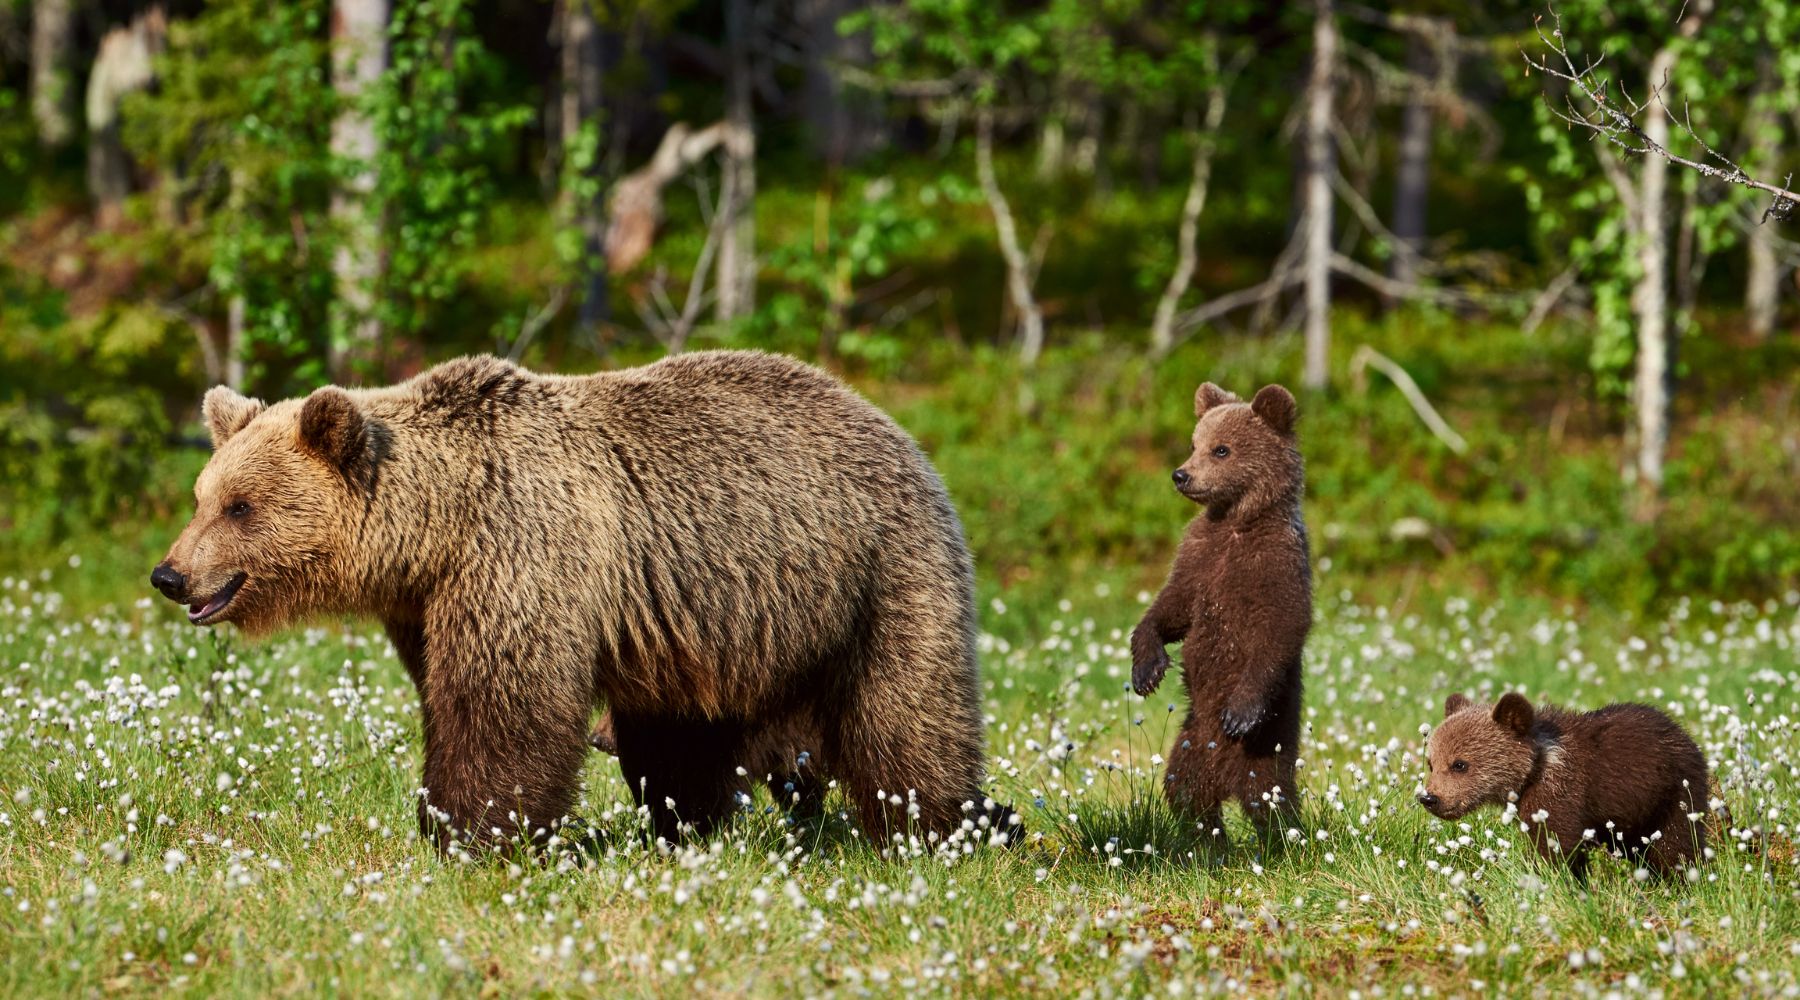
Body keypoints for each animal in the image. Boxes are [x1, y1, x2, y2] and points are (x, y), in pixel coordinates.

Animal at [151, 356, 1000, 848]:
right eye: (201, 497)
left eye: (241, 507)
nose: (170, 575)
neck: (438, 527)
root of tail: (894, 427)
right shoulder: (427, 603)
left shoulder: (522, 550)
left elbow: (503, 702)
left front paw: (471, 832)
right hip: (706, 617)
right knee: (680, 733)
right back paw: (690, 825)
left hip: (876, 569)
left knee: (904, 711)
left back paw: (943, 825)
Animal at [1123, 381, 1310, 845]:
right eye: (1195, 443)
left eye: (1221, 449)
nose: (1181, 474)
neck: (1236, 521)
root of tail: (1226, 779)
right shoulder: (1199, 558)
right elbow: (1170, 608)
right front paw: (1148, 669)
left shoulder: (1275, 565)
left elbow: (1281, 628)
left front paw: (1240, 712)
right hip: (1189, 744)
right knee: (1185, 794)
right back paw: (1210, 843)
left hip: (1267, 750)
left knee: (1272, 802)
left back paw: (1282, 844)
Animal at [1425, 690, 1706, 877]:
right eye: (1431, 763)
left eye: (1459, 764)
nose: (1429, 798)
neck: (1536, 767)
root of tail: (1683, 732)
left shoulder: (1559, 795)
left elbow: (1554, 843)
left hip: (1674, 794)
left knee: (1677, 843)